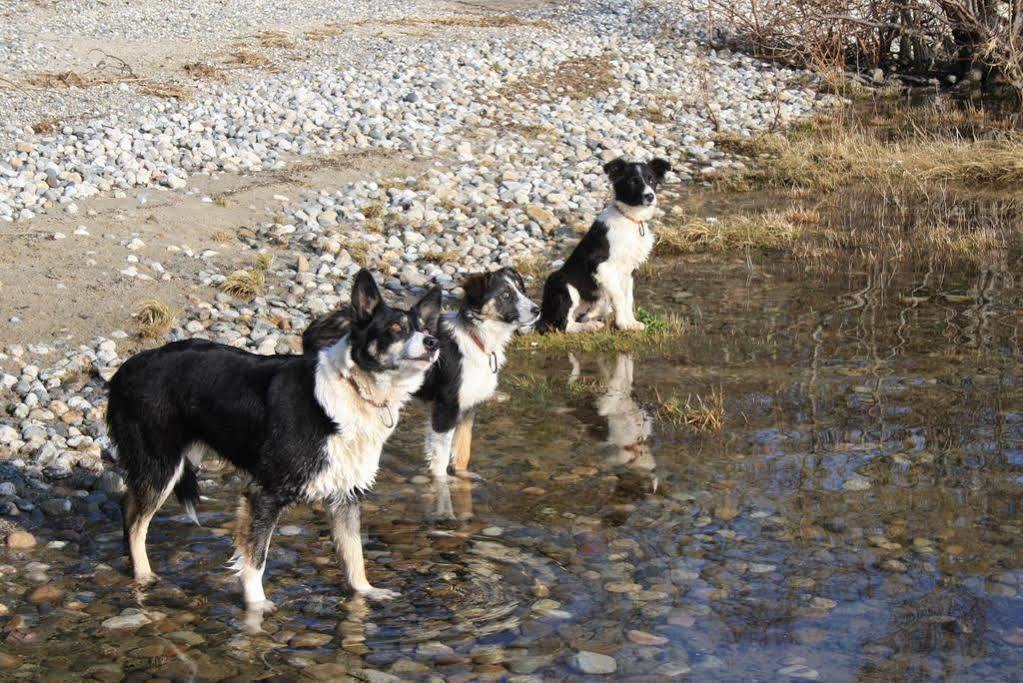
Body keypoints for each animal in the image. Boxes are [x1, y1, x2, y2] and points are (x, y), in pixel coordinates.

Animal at [108, 265, 443, 609]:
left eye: (425, 328)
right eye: (395, 328)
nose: (432, 342)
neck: (355, 387)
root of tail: (127, 367)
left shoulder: (345, 496)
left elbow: (354, 554)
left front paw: (365, 592)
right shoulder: (264, 493)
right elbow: (255, 558)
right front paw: (257, 608)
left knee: (128, 506)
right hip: (161, 464)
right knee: (136, 522)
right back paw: (144, 576)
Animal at [304, 265, 540, 480]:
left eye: (522, 290)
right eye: (505, 295)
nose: (537, 310)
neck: (476, 337)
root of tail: (315, 325)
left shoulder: (468, 407)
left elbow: (462, 453)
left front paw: (463, 480)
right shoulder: (446, 408)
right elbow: (440, 460)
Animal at [536, 157, 671, 333]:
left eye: (652, 180)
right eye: (633, 181)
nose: (650, 196)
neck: (630, 219)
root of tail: (544, 314)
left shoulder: (628, 271)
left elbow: (628, 298)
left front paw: (632, 323)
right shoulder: (601, 265)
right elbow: (619, 297)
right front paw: (623, 324)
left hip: (600, 300)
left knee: (583, 316)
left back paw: (592, 323)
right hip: (562, 283)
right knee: (565, 324)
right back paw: (588, 327)